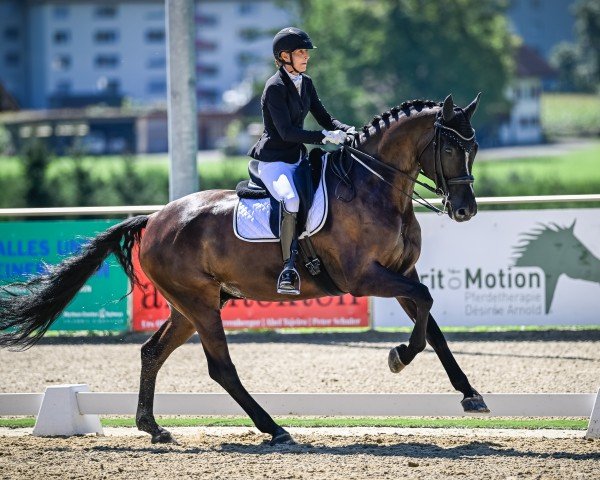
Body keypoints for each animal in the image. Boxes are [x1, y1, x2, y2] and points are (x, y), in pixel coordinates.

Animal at [0, 94, 488, 446]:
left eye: (475, 147)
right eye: (449, 146)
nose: (464, 210)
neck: (376, 186)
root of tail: (154, 219)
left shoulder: (403, 272)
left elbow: (432, 325)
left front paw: (470, 395)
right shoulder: (364, 277)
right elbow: (425, 311)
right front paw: (398, 357)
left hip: (189, 306)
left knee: (152, 352)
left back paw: (153, 427)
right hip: (200, 304)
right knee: (221, 368)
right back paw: (274, 429)